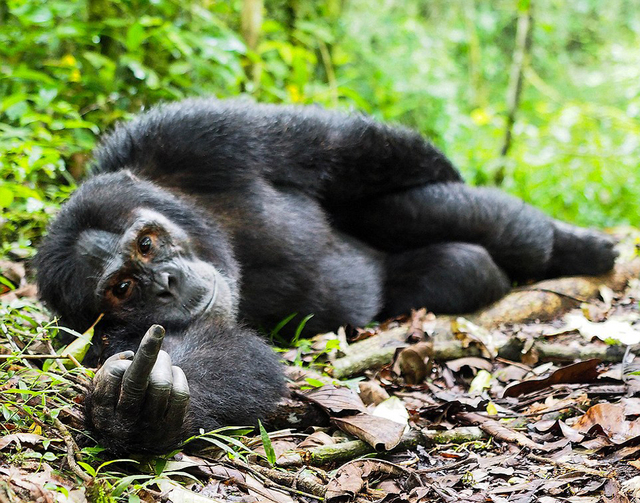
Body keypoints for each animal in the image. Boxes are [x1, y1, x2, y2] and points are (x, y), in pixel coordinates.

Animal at [33, 97, 616, 452]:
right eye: (123, 289)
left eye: (147, 244)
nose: (165, 283)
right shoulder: (101, 339)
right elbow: (223, 352)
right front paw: (139, 407)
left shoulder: (193, 135)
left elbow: (341, 146)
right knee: (462, 266)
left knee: (417, 209)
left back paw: (575, 249)